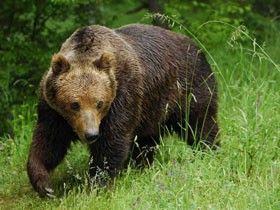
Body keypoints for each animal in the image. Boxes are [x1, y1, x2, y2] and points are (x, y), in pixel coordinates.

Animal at [26, 23, 219, 198]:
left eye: (99, 103)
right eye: (74, 104)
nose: (91, 134)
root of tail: (197, 46)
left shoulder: (123, 95)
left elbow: (112, 141)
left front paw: (98, 184)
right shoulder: (53, 111)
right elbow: (49, 142)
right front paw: (44, 185)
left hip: (188, 88)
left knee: (200, 124)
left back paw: (208, 151)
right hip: (151, 110)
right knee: (146, 140)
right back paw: (141, 166)